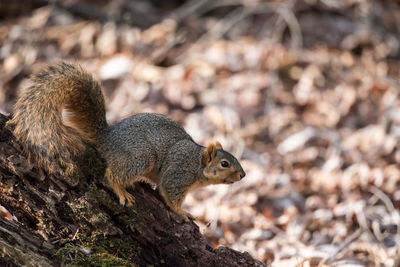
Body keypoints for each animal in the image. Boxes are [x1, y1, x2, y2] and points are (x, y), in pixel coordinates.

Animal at [9, 62, 245, 222]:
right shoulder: (179, 174)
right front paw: (183, 212)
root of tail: (107, 138)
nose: (243, 175)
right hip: (140, 157)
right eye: (224, 163)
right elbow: (169, 194)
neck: (197, 164)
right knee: (111, 175)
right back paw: (122, 192)